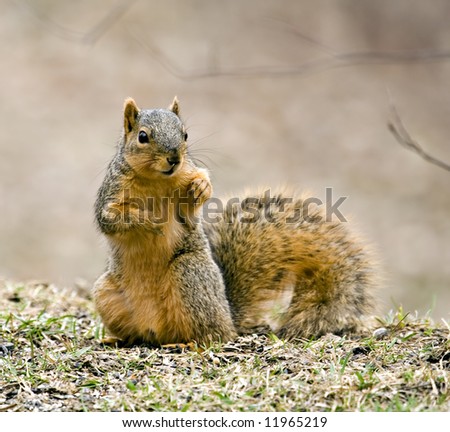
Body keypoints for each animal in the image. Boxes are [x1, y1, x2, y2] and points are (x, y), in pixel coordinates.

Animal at [93, 98, 378, 348]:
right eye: (143, 136)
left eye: (185, 135)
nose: (174, 159)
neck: (156, 179)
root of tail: (228, 315)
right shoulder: (111, 195)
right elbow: (110, 219)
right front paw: (148, 219)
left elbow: (188, 211)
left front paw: (201, 186)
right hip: (107, 294)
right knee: (143, 334)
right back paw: (119, 339)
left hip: (190, 273)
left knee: (214, 335)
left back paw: (185, 343)